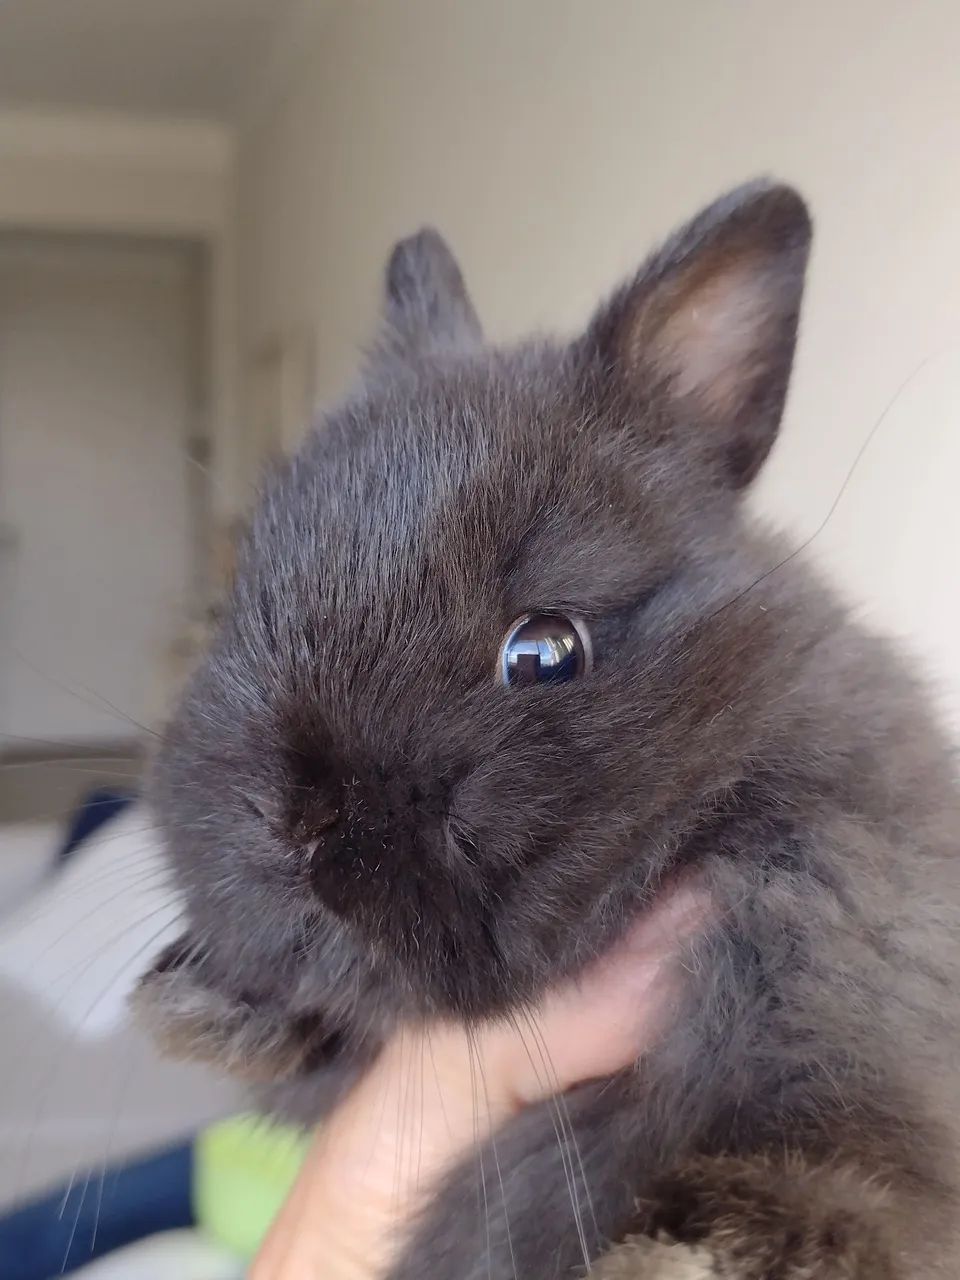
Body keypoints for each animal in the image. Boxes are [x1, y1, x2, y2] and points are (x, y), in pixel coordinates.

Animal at [134, 180, 960, 1278]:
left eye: (545, 651)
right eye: (242, 603)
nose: (293, 821)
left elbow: (826, 1167)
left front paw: (693, 1256)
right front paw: (199, 1009)